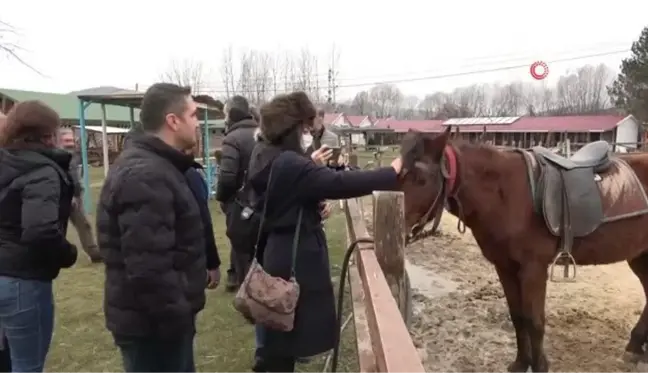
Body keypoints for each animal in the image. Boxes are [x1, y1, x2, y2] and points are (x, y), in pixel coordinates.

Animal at [398, 125, 648, 372]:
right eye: (399, 175)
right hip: (640, 255)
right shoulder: (505, 267)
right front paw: (521, 363)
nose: (400, 227)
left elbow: (534, 322)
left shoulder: (533, 269)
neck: (507, 195)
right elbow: (517, 316)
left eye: (421, 179)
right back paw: (636, 346)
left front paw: (539, 366)